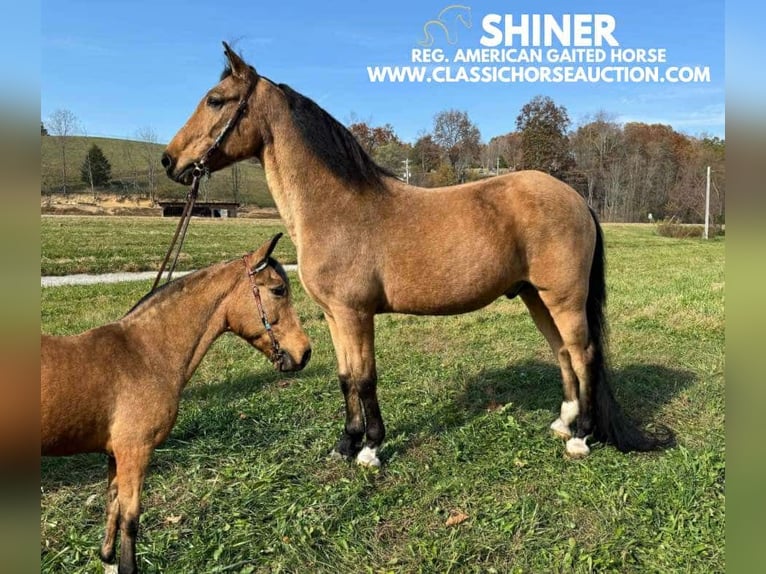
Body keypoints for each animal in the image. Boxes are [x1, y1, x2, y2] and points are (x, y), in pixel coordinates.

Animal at [40, 236, 312, 574]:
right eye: (278, 290)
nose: (304, 353)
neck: (145, 354)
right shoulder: (135, 451)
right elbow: (130, 518)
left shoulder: (115, 454)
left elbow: (113, 505)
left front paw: (107, 558)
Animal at [160, 42, 672, 470]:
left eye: (216, 100)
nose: (170, 161)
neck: (337, 206)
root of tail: (575, 197)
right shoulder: (334, 316)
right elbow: (346, 378)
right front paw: (346, 444)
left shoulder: (355, 314)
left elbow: (365, 378)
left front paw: (370, 449)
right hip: (535, 297)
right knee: (563, 352)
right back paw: (563, 424)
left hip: (563, 297)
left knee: (583, 355)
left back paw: (581, 438)